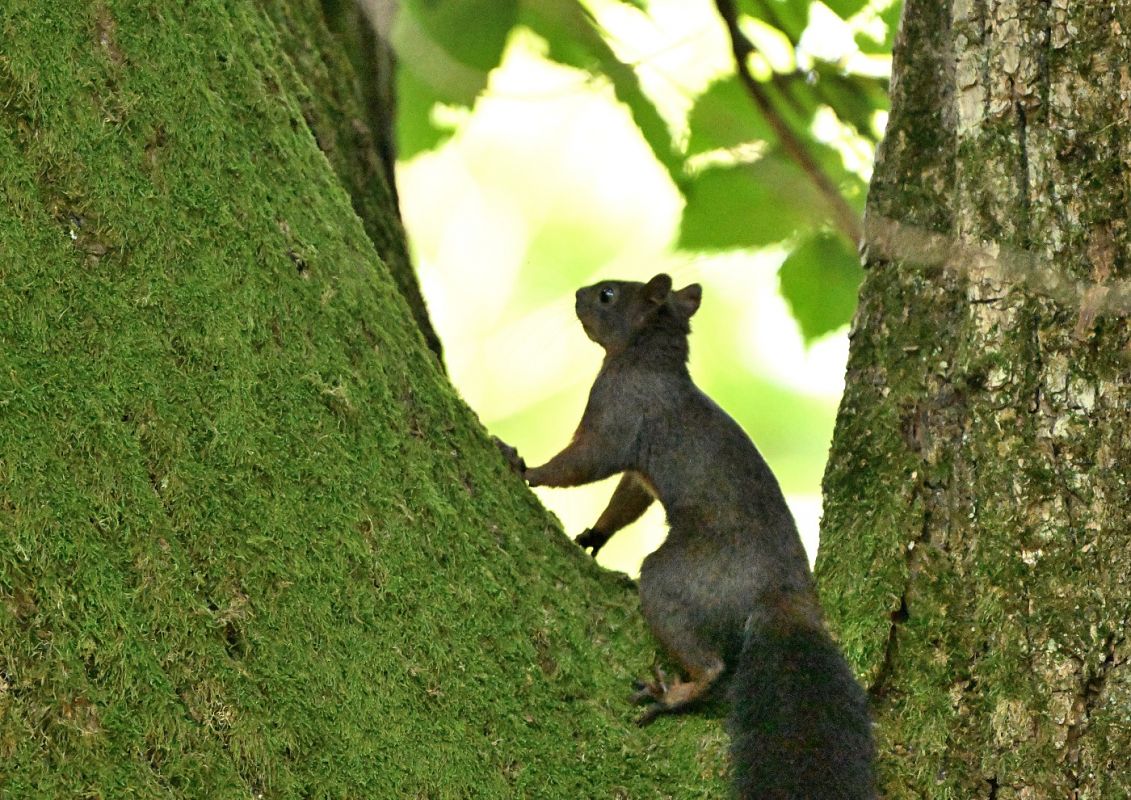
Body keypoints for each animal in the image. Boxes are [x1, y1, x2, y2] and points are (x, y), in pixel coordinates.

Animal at [495, 274, 875, 799]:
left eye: (608, 295)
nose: (576, 295)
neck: (647, 358)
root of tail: (782, 591)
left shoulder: (619, 410)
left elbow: (582, 463)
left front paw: (524, 468)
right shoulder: (637, 471)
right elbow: (626, 499)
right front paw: (593, 536)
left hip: (679, 578)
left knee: (709, 660)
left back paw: (675, 693)